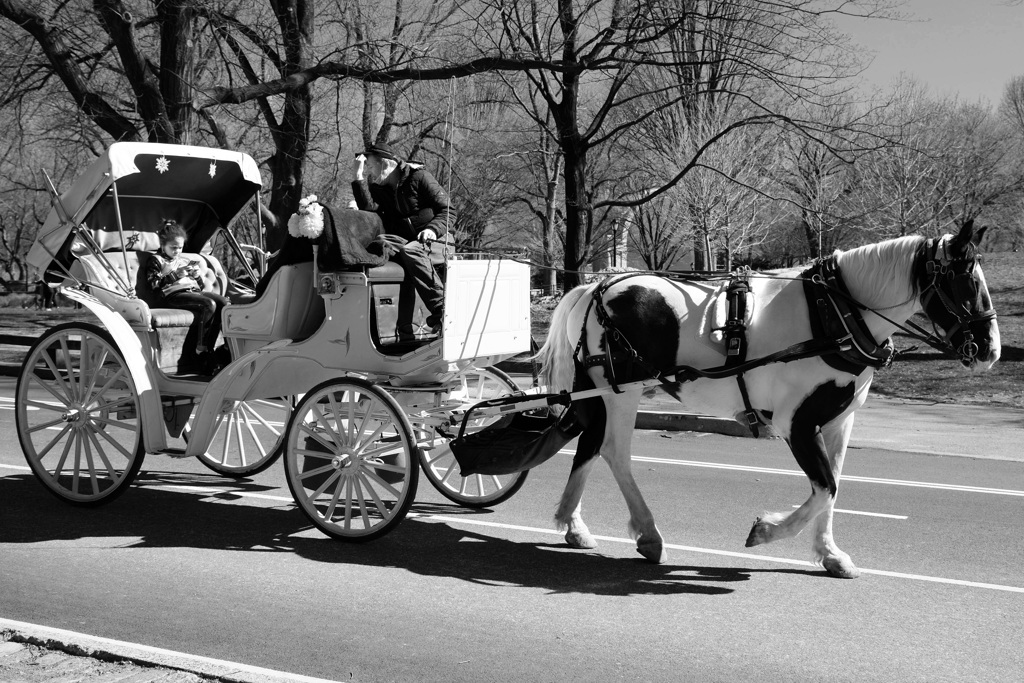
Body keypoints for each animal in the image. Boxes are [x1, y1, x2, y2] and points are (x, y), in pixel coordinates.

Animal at [536, 222, 999, 581]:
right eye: (966, 280)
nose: (991, 349)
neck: (833, 312)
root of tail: (594, 285)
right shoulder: (796, 422)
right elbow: (825, 487)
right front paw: (767, 531)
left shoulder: (839, 420)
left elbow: (834, 485)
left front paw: (830, 554)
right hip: (621, 392)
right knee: (613, 451)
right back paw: (648, 534)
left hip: (598, 392)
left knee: (588, 443)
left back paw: (573, 524)